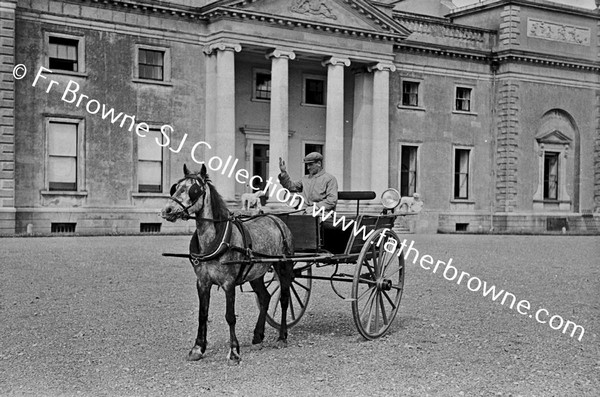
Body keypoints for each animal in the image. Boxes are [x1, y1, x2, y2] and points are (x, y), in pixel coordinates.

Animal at [161, 163, 294, 362]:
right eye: (175, 187)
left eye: (194, 190)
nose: (167, 210)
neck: (214, 241)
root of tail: (276, 218)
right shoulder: (202, 282)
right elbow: (202, 314)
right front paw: (198, 348)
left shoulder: (228, 283)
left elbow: (230, 316)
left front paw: (234, 351)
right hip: (256, 272)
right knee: (265, 297)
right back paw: (258, 336)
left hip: (283, 267)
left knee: (284, 299)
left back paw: (282, 336)